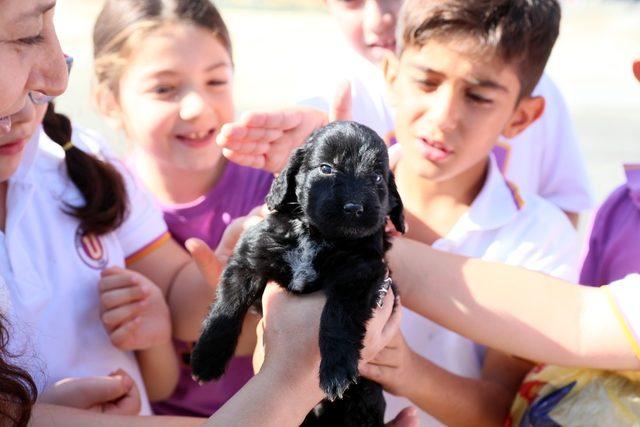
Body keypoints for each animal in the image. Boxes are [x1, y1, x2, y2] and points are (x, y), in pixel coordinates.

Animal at [188, 121, 404, 427]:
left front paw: (336, 371)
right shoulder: (250, 256)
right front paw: (206, 360)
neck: (317, 236)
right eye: (326, 168)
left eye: (376, 177)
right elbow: (227, 308)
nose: (354, 208)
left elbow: (337, 317)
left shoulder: (361, 272)